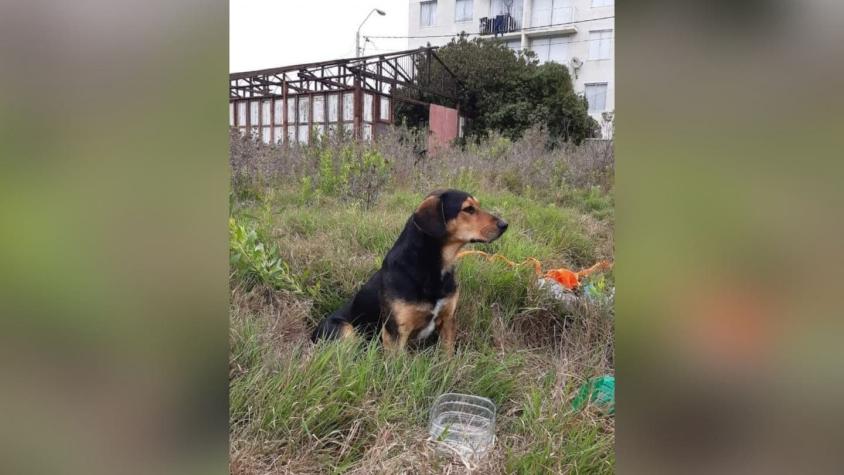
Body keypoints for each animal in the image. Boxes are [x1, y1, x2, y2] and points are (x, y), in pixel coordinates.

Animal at [312, 190, 504, 354]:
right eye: (468, 209)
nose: (505, 224)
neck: (433, 267)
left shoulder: (448, 320)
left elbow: (447, 356)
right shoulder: (396, 333)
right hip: (346, 330)